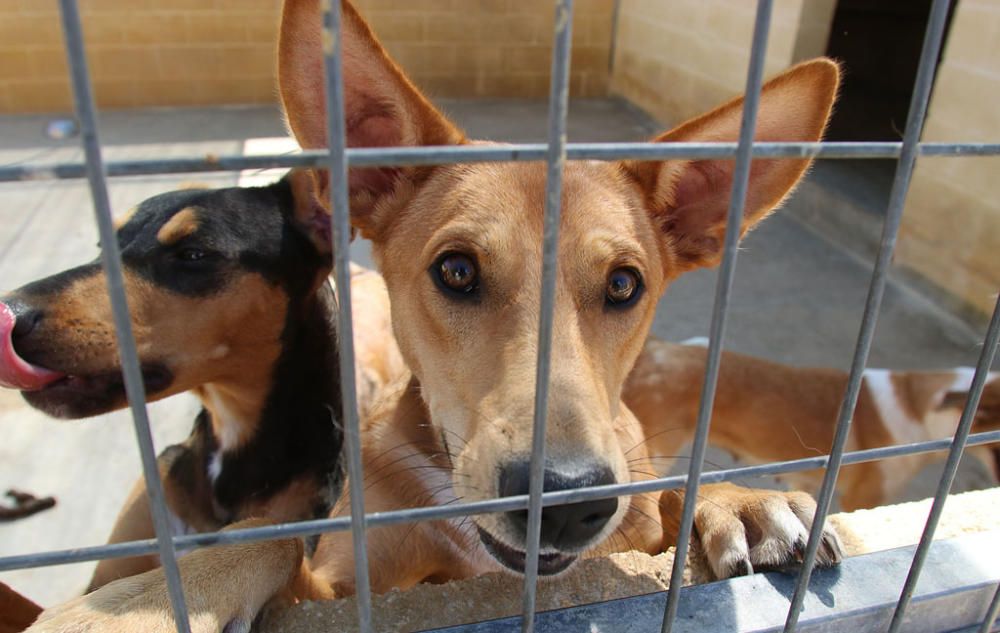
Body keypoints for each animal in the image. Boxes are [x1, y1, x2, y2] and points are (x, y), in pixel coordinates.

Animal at [27, 1, 848, 628]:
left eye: (623, 285)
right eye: (456, 271)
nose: (567, 502)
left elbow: (662, 491)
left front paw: (739, 500)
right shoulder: (340, 581)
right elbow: (274, 541)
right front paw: (143, 605)